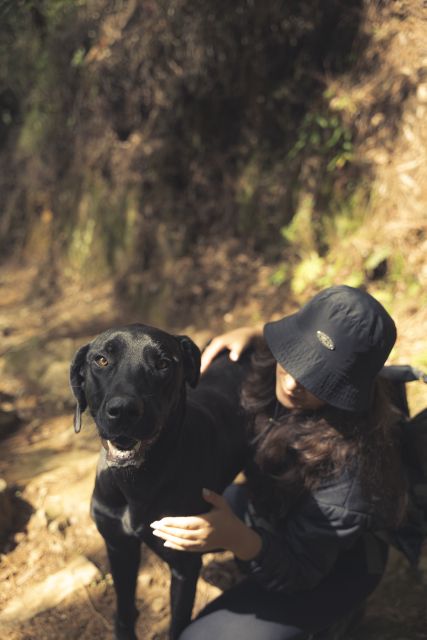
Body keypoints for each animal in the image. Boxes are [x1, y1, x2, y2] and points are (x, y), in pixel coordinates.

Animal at [69, 324, 247, 640]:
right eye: (101, 360)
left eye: (163, 364)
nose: (124, 410)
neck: (137, 483)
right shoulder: (118, 546)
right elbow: (124, 611)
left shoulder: (185, 565)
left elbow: (178, 625)